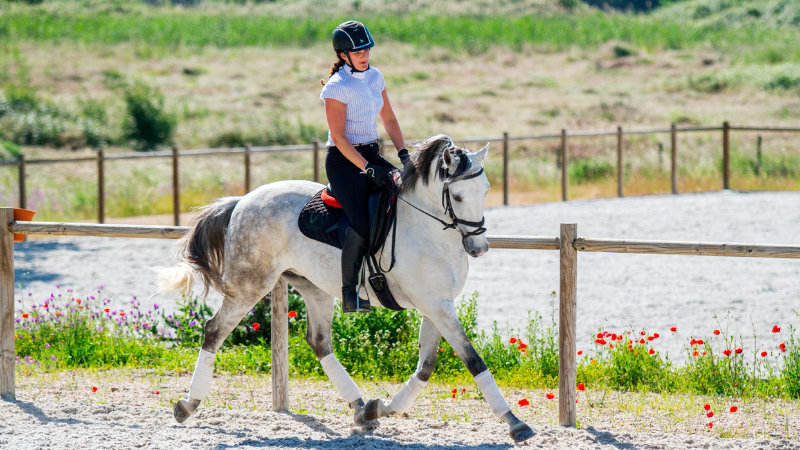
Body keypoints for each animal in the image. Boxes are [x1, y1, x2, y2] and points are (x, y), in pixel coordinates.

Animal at [159, 134, 536, 442]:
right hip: (251, 284)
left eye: (485, 190)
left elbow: (426, 367)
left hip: (314, 288)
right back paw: (187, 405)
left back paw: (360, 408)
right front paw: (515, 423)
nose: (479, 247)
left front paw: (379, 408)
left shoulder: (436, 305)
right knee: (214, 330)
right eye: (456, 196)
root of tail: (242, 200)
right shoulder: (437, 306)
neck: (428, 230)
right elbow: (473, 360)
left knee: (319, 342)